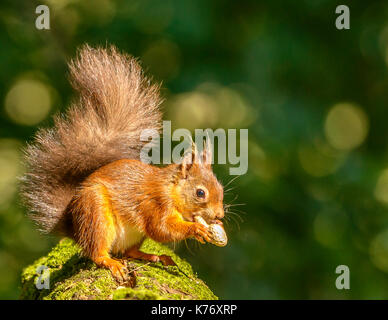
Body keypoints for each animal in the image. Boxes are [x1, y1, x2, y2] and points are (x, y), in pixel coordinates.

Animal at [21, 45, 226, 280]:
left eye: (220, 189)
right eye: (200, 193)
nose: (219, 215)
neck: (171, 190)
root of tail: (74, 227)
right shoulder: (155, 204)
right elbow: (160, 229)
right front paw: (196, 229)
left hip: (132, 235)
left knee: (129, 251)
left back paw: (154, 256)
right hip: (96, 215)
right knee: (96, 252)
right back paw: (111, 262)